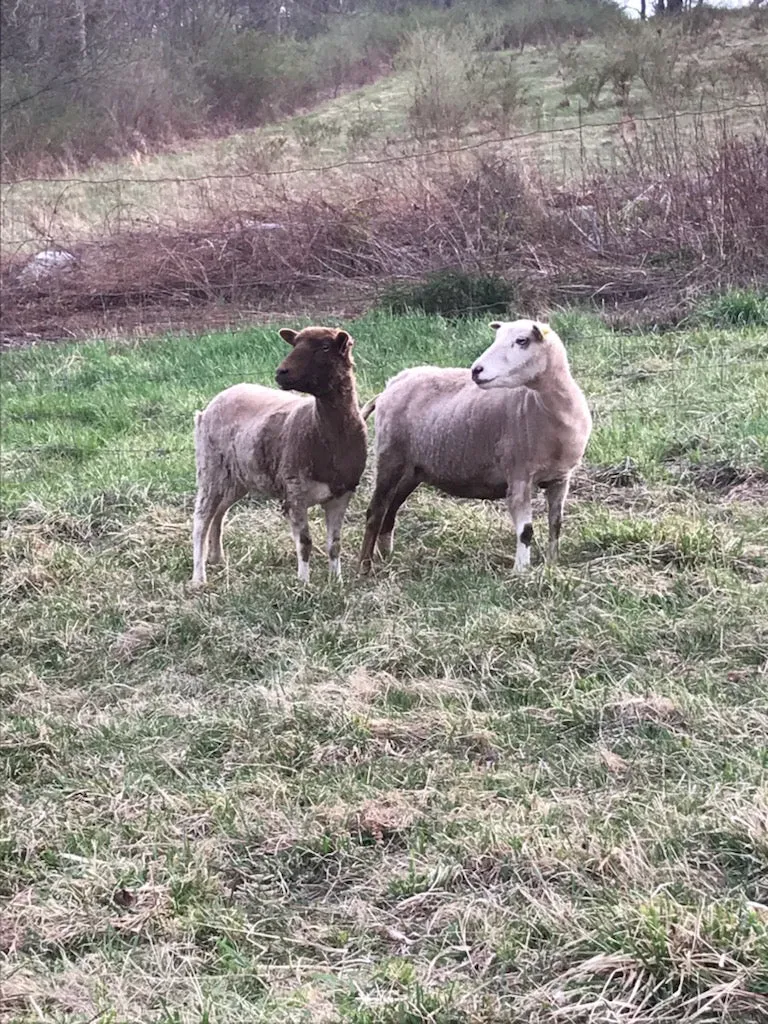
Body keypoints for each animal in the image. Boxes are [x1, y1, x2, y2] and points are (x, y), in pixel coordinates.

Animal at [360, 319, 593, 573]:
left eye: (522, 340)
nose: (476, 370)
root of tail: (391, 385)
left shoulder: (561, 479)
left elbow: (556, 523)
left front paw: (552, 565)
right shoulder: (518, 476)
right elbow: (526, 531)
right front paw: (521, 572)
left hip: (413, 469)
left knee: (391, 508)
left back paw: (385, 555)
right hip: (390, 456)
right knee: (376, 510)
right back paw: (364, 567)